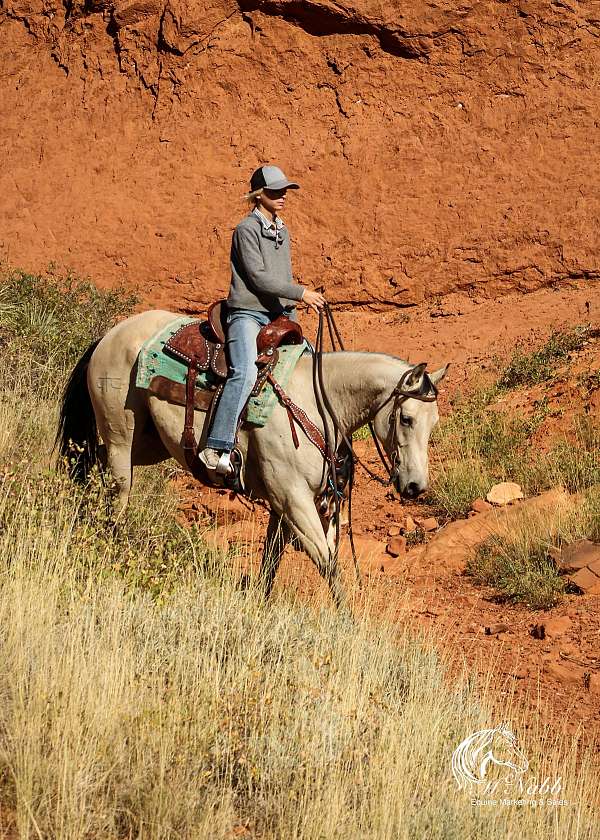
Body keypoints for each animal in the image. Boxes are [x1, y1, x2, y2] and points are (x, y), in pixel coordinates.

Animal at [57, 308, 446, 604]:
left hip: (145, 444)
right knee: (116, 495)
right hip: (121, 439)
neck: (316, 401)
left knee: (92, 469)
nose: (415, 486)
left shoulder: (284, 504)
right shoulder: (293, 499)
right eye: (407, 419)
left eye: (434, 422)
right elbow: (327, 562)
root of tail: (109, 336)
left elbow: (271, 561)